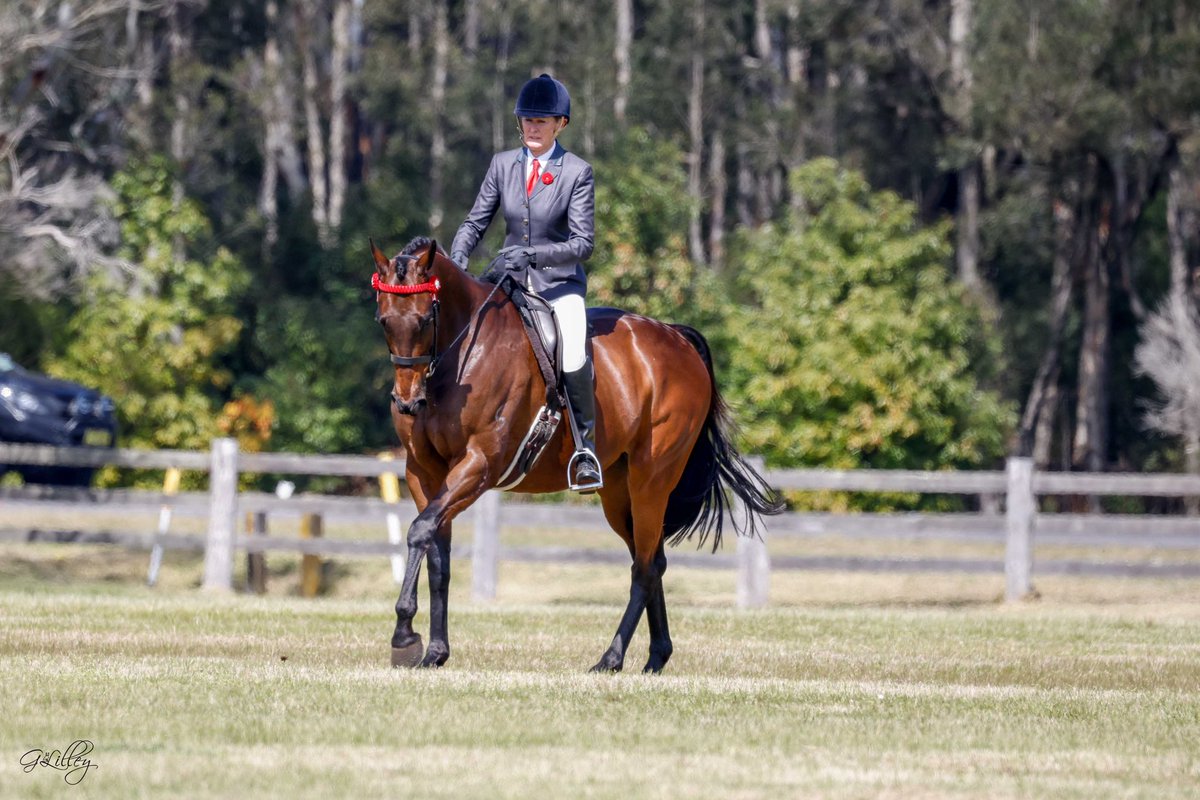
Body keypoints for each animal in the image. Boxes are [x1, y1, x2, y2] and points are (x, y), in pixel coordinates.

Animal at [371, 236, 782, 672]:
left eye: (423, 321)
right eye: (384, 321)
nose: (407, 402)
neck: (457, 360)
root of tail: (676, 336)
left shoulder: (479, 465)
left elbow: (419, 531)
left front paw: (404, 637)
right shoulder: (423, 472)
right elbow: (436, 554)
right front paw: (434, 651)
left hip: (651, 479)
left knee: (646, 567)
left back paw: (611, 659)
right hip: (618, 492)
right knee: (650, 558)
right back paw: (656, 657)